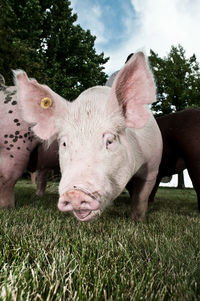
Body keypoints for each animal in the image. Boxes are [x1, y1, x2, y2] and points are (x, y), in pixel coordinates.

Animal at [15, 51, 162, 220]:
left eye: (110, 140)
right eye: (64, 144)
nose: (74, 193)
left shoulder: (153, 166)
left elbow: (141, 197)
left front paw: (137, 220)